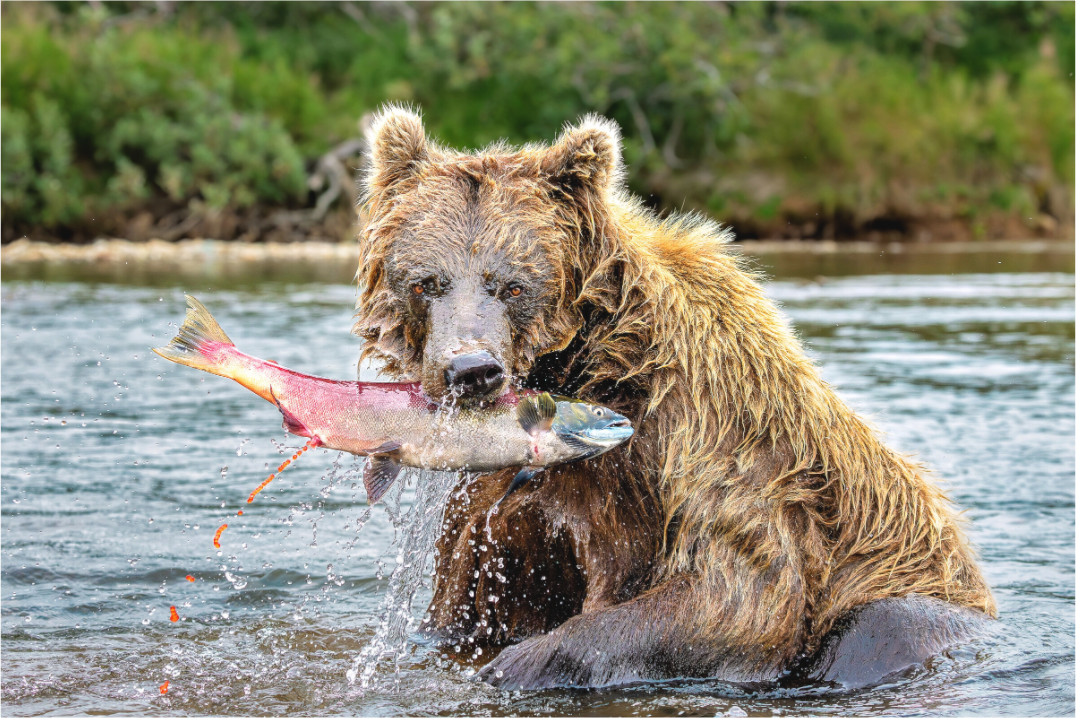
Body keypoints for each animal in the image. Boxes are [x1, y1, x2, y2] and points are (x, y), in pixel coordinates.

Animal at [352, 105, 996, 690]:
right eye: (425, 282)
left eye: (512, 285)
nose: (471, 370)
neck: (585, 365)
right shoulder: (500, 506)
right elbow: (466, 597)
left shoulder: (704, 425)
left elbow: (740, 592)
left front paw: (513, 665)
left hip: (914, 589)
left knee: (886, 626)